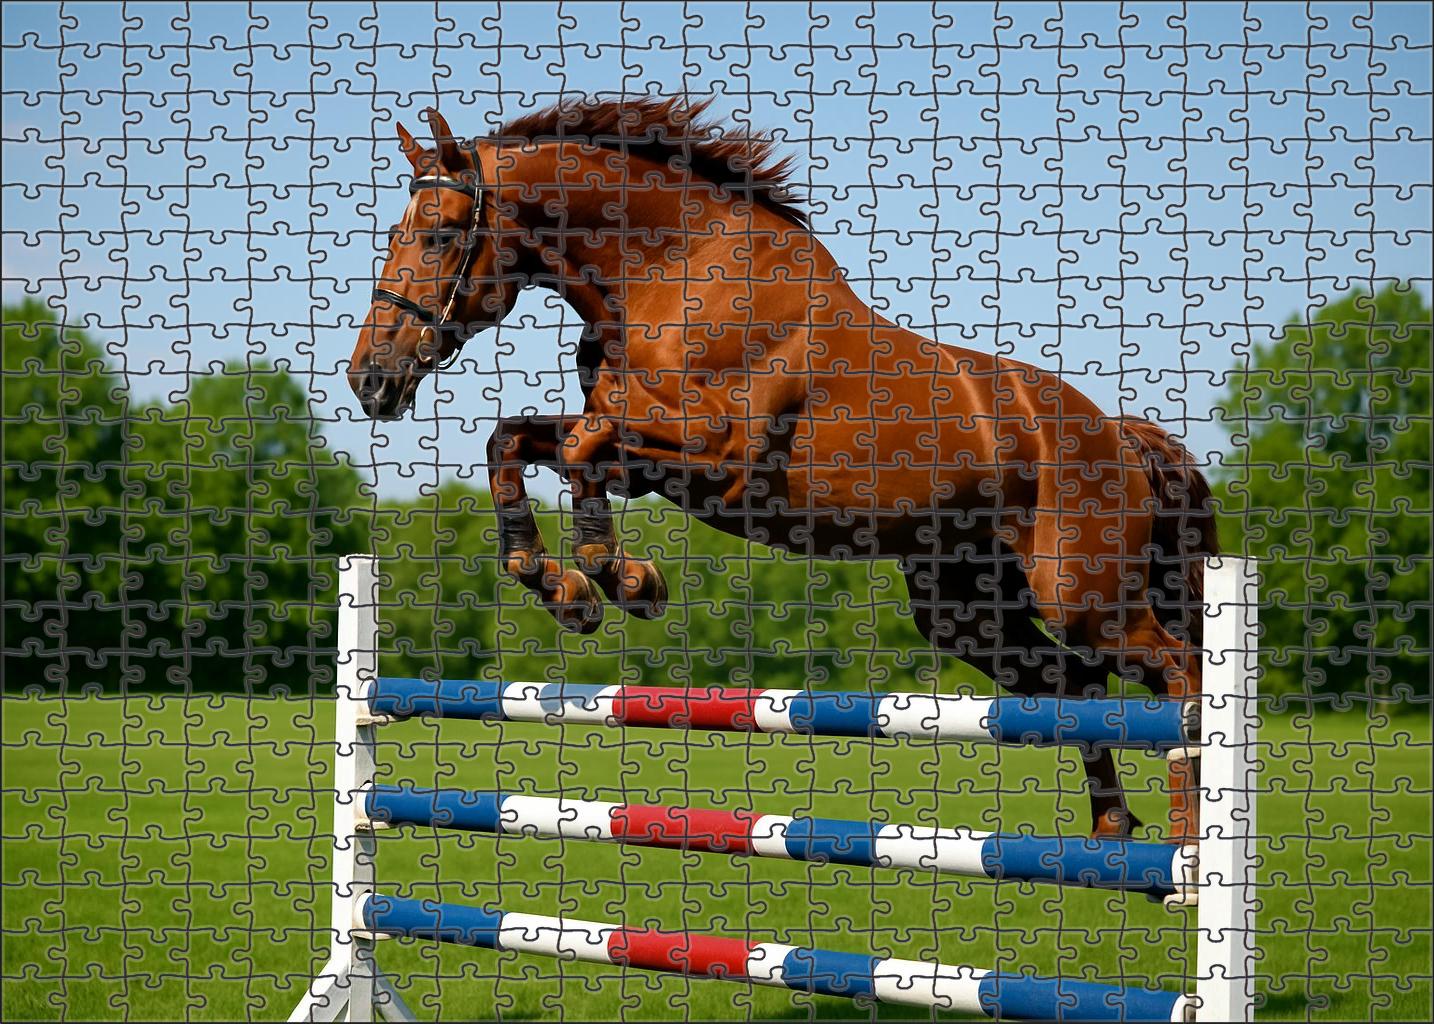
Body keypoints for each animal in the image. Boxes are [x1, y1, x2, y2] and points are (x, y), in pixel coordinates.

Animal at [348, 99, 1219, 842]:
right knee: (1077, 687)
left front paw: (616, 577)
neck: (670, 272)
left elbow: (580, 446)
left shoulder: (719, 457)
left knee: (1176, 670)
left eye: (438, 236)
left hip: (1079, 593)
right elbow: (517, 441)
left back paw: (1183, 842)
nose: (371, 380)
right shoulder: (654, 463)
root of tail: (1121, 437)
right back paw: (1113, 829)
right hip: (968, 610)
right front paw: (562, 583)